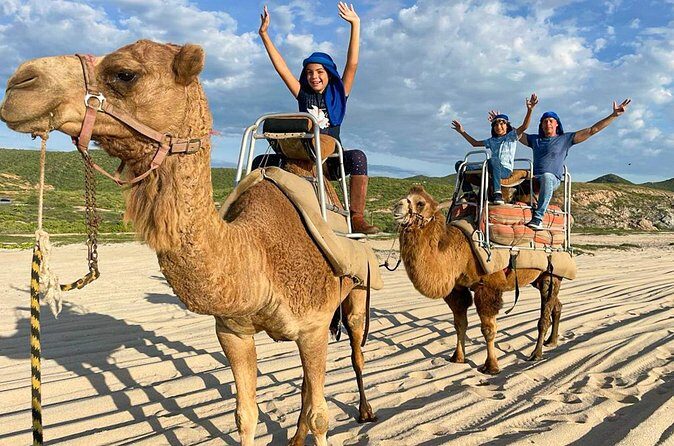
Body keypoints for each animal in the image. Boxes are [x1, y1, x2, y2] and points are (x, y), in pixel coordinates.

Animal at [0, 40, 377, 445]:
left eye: (125, 73)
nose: (19, 84)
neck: (255, 251)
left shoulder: (313, 327)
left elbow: (321, 415)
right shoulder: (233, 331)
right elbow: (245, 414)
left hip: (356, 293)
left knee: (355, 349)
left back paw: (365, 411)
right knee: (308, 385)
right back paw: (294, 437)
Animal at [392, 185, 563, 374]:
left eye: (420, 203)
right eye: (406, 196)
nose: (397, 207)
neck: (460, 252)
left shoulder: (487, 287)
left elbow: (488, 329)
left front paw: (491, 366)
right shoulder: (457, 288)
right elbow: (459, 324)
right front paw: (458, 358)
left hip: (551, 273)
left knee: (545, 312)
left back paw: (536, 353)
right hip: (538, 278)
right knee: (556, 304)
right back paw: (551, 341)